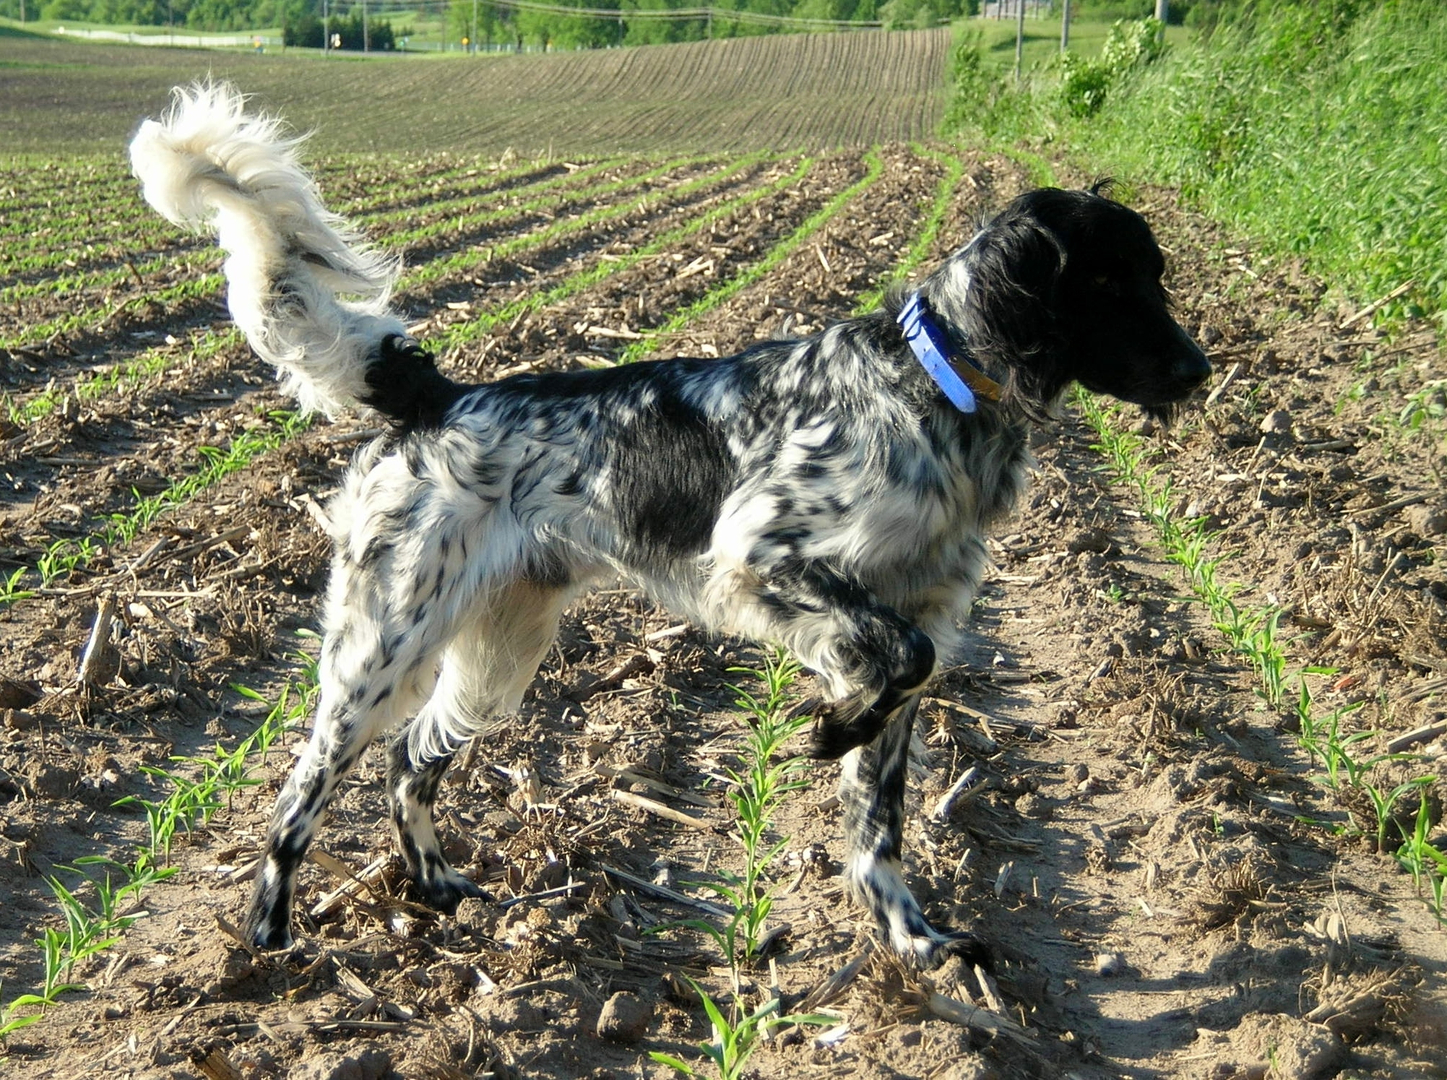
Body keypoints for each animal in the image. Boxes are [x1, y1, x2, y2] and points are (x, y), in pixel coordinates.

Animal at [130, 82, 1209, 961]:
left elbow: (884, 807)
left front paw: (910, 937)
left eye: (1155, 274)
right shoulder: (760, 555)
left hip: (498, 652)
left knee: (409, 764)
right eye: (1110, 283)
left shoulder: (912, 617)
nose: (1199, 371)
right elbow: (895, 663)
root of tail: (435, 396)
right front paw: (825, 733)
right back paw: (269, 941)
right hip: (381, 646)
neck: (928, 388)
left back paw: (433, 887)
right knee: (298, 794)